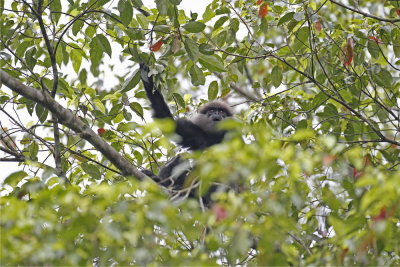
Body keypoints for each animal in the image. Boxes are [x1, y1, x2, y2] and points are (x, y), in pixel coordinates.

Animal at [140, 64, 234, 205]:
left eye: (222, 112)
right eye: (212, 110)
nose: (217, 114)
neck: (214, 138)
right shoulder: (196, 134)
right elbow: (169, 123)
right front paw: (147, 78)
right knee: (180, 157)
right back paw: (161, 182)